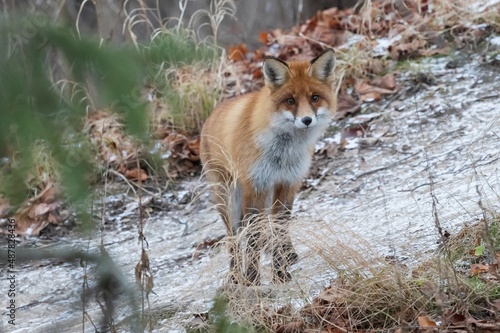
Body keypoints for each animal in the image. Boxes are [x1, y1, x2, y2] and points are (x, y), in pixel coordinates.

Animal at [201, 49, 338, 286]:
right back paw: (235, 276)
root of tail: (209, 117)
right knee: (233, 238)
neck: (283, 152)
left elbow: (280, 229)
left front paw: (279, 272)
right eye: (290, 100)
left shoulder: (288, 183)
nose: (307, 120)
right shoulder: (256, 185)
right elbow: (252, 239)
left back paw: (286, 255)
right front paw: (252, 278)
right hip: (229, 199)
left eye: (315, 97)